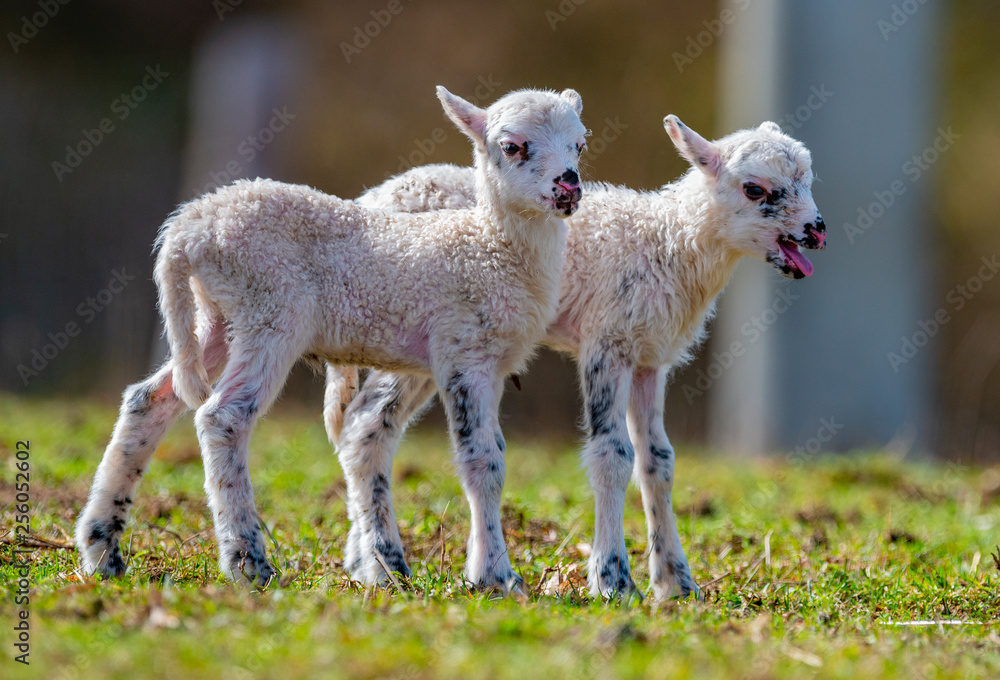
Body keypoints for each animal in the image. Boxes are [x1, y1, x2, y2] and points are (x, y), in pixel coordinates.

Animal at [74, 86, 589, 593]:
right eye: (512, 146)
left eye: (580, 145)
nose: (569, 185)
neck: (490, 244)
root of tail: (187, 230)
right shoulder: (466, 352)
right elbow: (483, 460)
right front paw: (495, 577)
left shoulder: (487, 361)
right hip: (271, 309)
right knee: (222, 417)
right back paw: (249, 564)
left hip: (220, 315)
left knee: (149, 399)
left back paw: (102, 550)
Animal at [326, 116, 826, 601]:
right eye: (754, 188)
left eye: (807, 180)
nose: (817, 230)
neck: (669, 239)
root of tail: (373, 196)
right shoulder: (608, 342)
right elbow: (613, 454)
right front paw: (614, 581)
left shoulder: (649, 358)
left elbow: (658, 461)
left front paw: (677, 583)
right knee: (368, 425)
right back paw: (386, 566)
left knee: (363, 427)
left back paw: (363, 561)